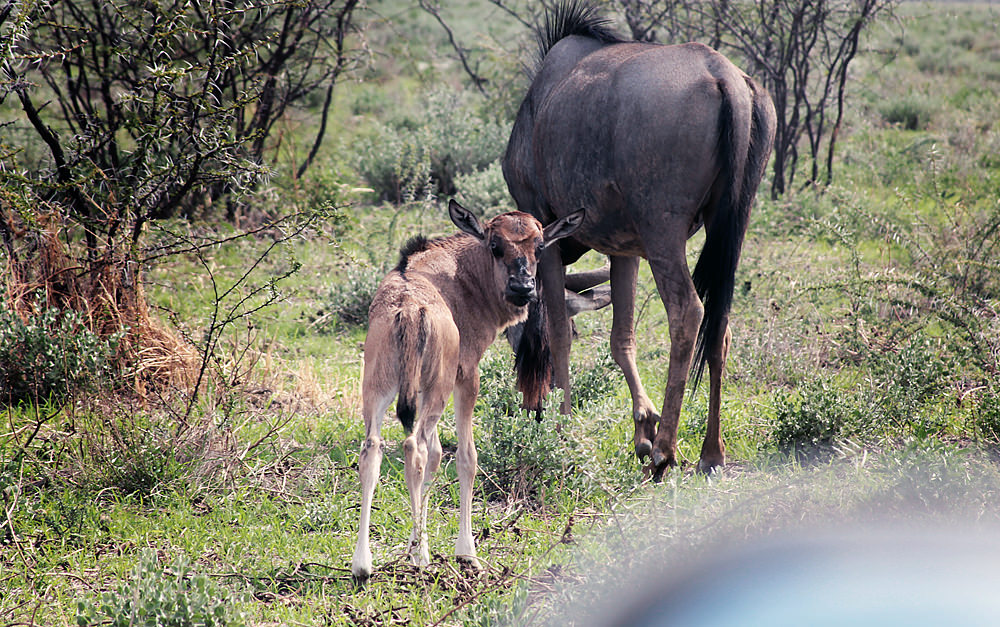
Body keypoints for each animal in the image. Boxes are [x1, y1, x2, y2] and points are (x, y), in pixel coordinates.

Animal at [351, 200, 583, 582]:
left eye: (539, 246)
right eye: (495, 245)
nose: (523, 288)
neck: (459, 275)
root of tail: (409, 309)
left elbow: (436, 458)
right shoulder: (466, 376)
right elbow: (464, 458)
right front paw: (465, 552)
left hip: (379, 390)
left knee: (374, 450)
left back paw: (363, 563)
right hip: (436, 391)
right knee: (415, 447)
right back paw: (420, 556)